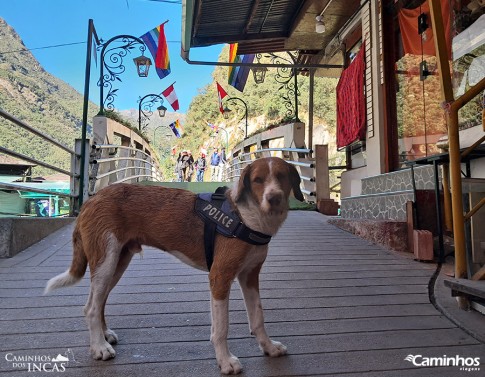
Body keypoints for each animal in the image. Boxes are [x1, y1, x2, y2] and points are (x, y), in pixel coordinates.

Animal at [44, 156, 302, 374]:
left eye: (282, 176)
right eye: (258, 180)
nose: (274, 198)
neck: (246, 217)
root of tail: (91, 199)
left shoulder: (250, 275)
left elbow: (258, 316)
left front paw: (268, 347)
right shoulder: (220, 277)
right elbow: (221, 328)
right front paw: (225, 361)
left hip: (117, 262)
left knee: (100, 302)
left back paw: (104, 335)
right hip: (105, 261)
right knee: (90, 307)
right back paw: (99, 347)